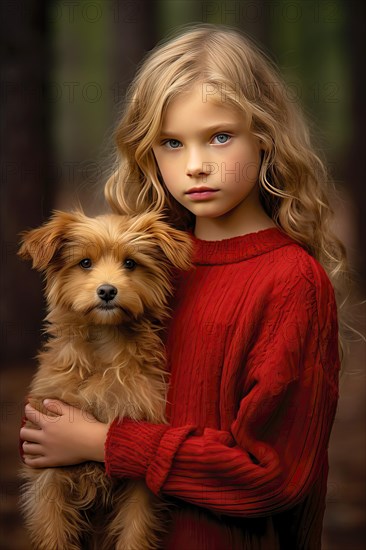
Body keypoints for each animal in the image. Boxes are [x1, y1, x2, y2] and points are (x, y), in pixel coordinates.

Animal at [18, 211, 193, 550]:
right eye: (85, 263)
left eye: (131, 263)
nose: (107, 291)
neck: (103, 345)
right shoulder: (49, 471)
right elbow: (53, 530)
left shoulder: (138, 477)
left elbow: (135, 533)